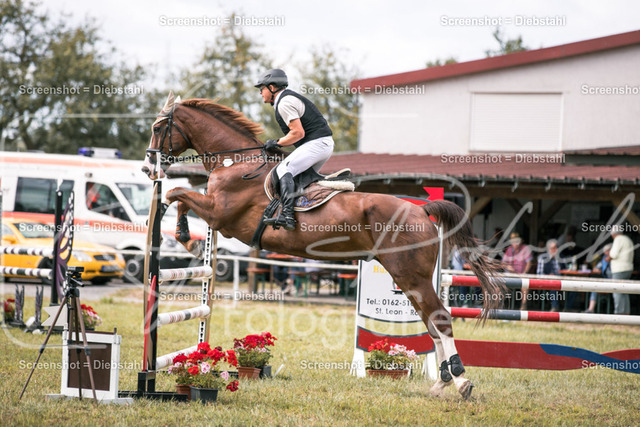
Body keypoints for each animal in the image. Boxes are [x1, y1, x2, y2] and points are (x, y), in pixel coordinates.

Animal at [141, 92, 503, 399]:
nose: (147, 167)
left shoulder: (219, 214)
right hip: (409, 280)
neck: (237, 163)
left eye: (158, 127)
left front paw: (182, 234)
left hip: (411, 276)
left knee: (440, 320)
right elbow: (181, 198)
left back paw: (461, 382)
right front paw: (183, 234)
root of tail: (421, 209)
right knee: (432, 323)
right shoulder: (215, 213)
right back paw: (442, 384)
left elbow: (176, 193)